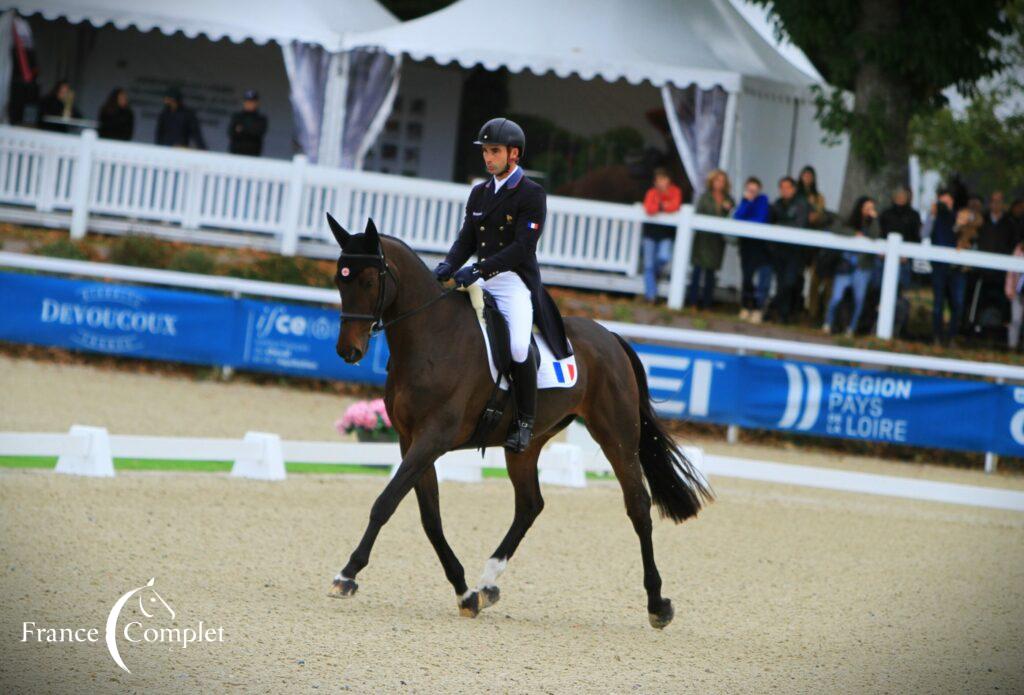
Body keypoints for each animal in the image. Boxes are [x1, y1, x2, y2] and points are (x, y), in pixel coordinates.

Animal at [323, 215, 708, 630]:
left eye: (368, 281)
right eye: (339, 280)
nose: (348, 351)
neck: (431, 337)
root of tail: (610, 337)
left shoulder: (432, 438)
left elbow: (386, 502)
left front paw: (347, 575)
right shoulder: (411, 441)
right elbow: (430, 518)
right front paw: (465, 593)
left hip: (617, 437)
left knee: (637, 505)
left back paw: (658, 604)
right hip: (527, 444)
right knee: (530, 505)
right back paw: (488, 584)